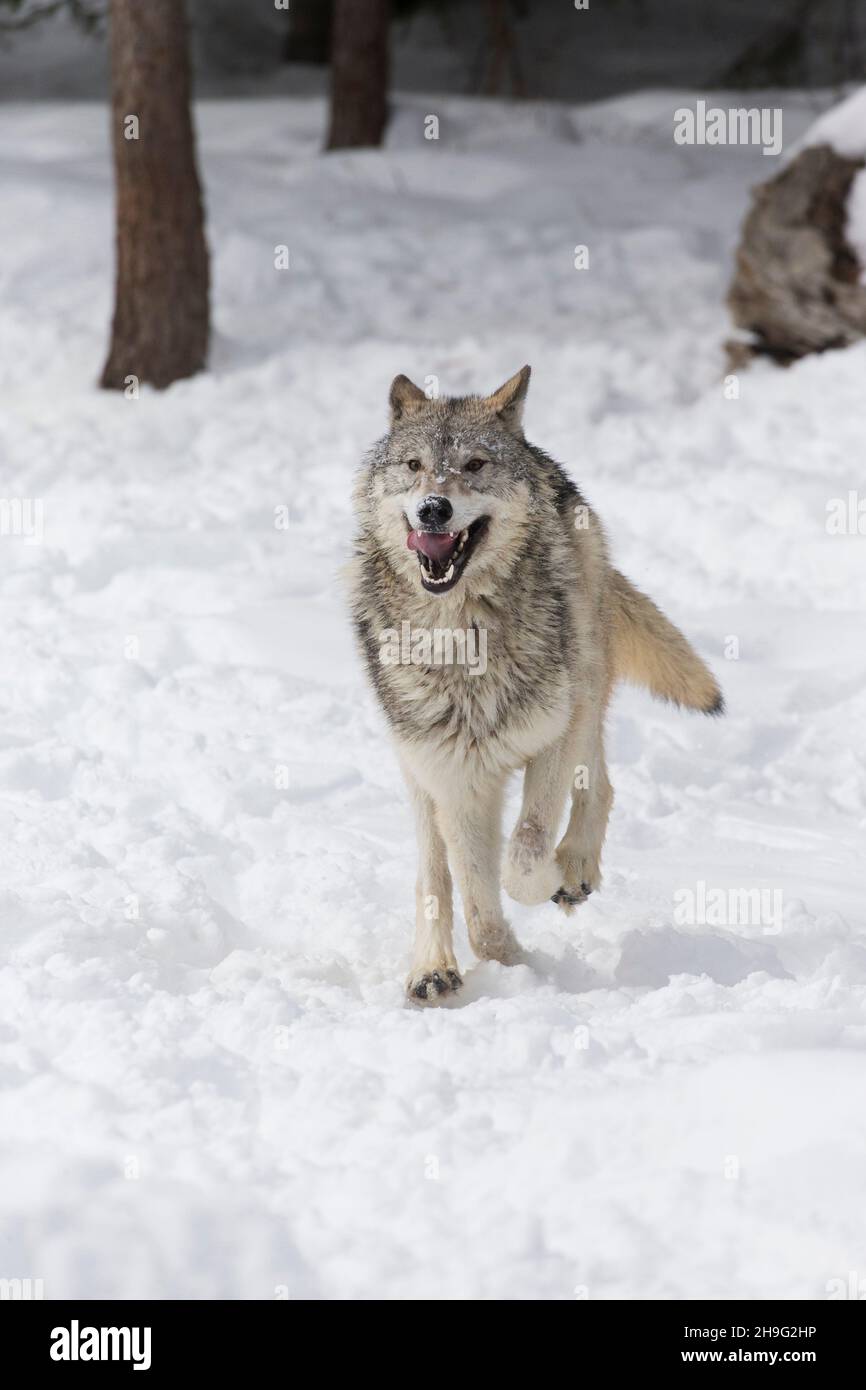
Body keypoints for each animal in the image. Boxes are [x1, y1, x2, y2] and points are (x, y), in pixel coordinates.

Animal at [349, 367, 722, 1004]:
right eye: (415, 465)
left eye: (474, 464)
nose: (432, 508)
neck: (464, 641)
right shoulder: (456, 778)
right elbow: (477, 906)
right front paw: (508, 965)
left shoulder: (553, 738)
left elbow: (522, 855)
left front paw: (551, 880)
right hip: (415, 767)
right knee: (432, 874)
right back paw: (431, 970)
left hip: (586, 689)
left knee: (601, 785)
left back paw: (575, 869)